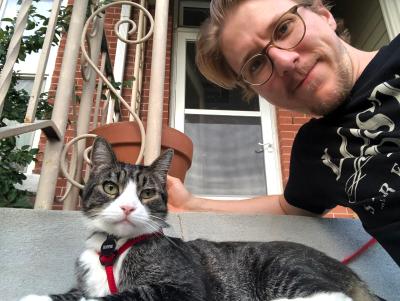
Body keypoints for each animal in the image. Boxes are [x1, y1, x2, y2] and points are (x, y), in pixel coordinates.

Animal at [21, 137, 378, 298]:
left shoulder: (181, 289)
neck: (114, 248)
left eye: (146, 193)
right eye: (111, 187)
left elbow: (119, 297)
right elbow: (75, 293)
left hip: (290, 274)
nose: (127, 208)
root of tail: (351, 274)